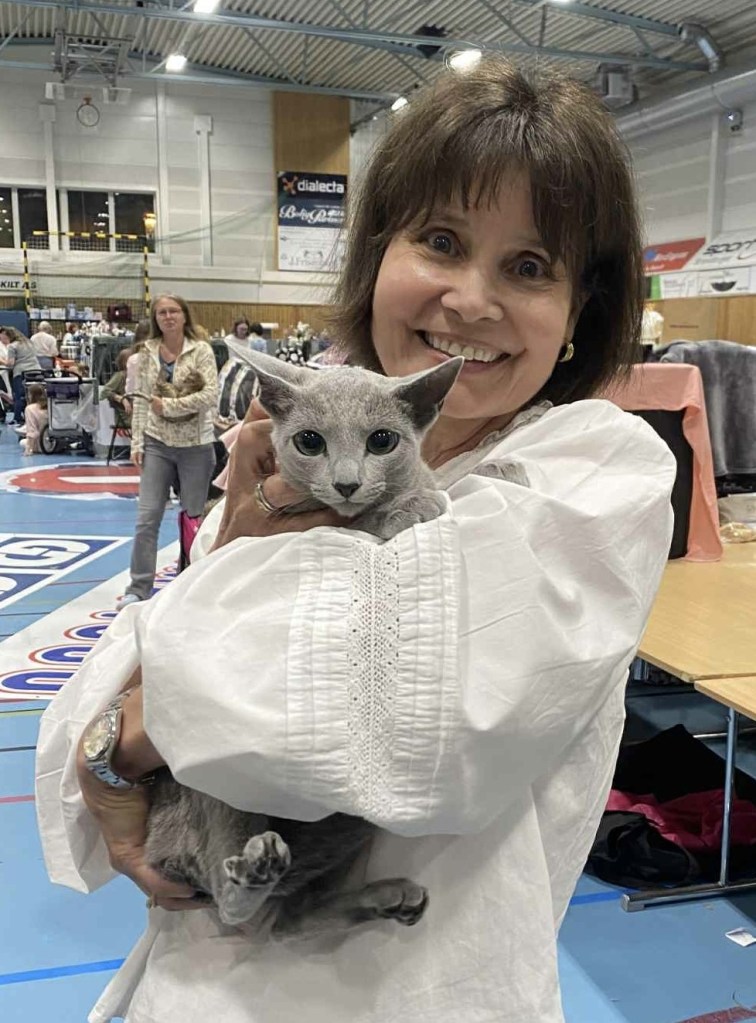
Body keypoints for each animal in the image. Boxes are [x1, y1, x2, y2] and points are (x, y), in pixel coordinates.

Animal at [145, 352, 464, 940]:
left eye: (382, 440)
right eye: (310, 442)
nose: (346, 482)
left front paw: (423, 495)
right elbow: (367, 526)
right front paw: (409, 508)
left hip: (350, 819)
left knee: (290, 917)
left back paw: (384, 896)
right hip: (213, 784)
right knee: (233, 901)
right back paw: (256, 870)